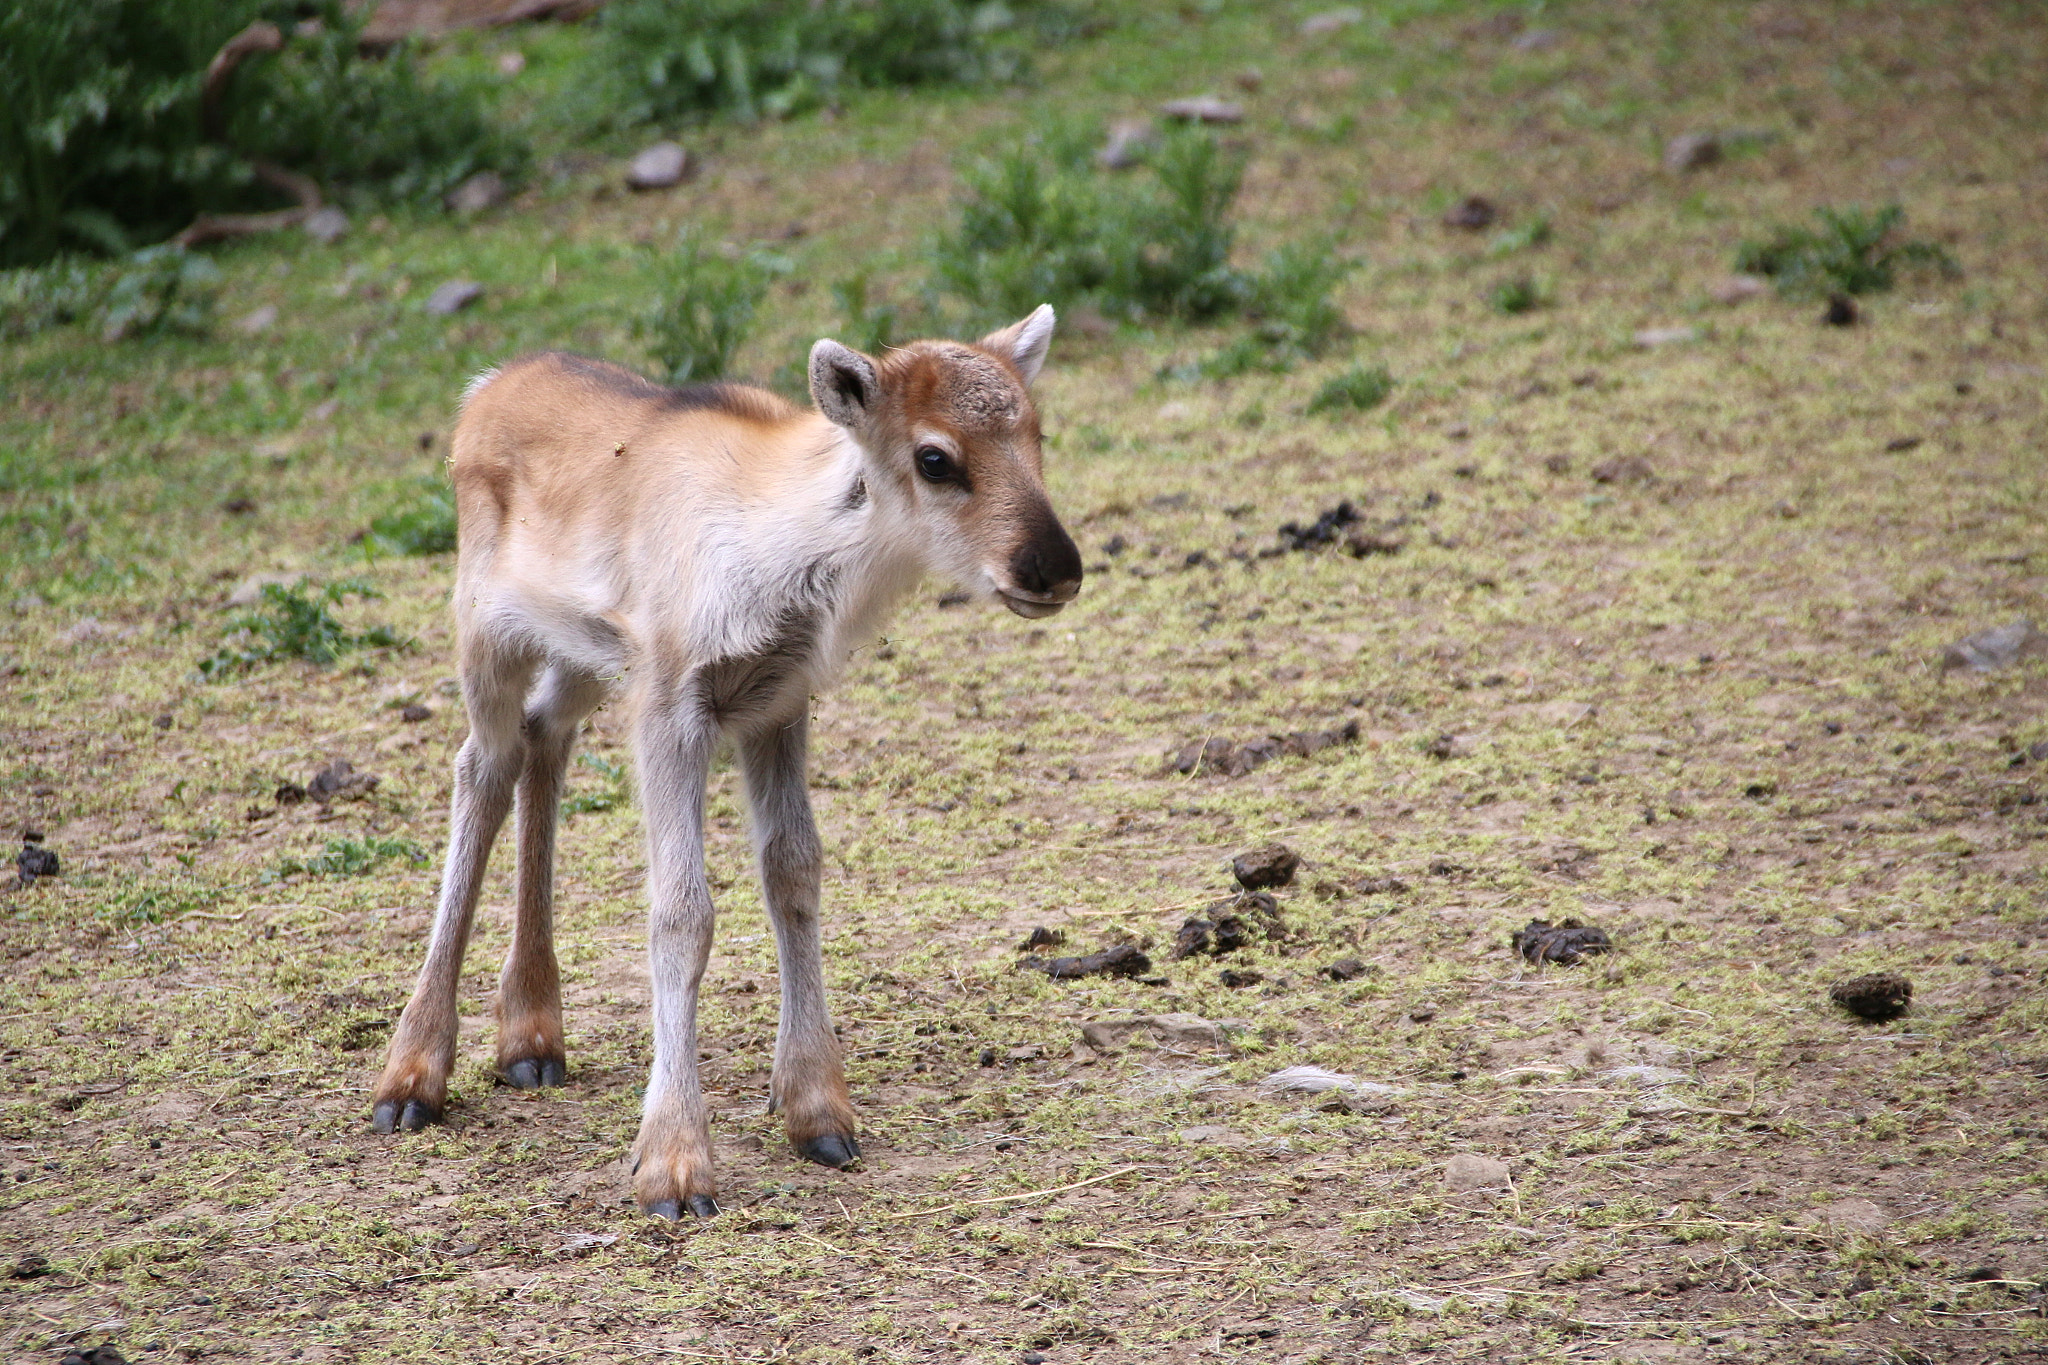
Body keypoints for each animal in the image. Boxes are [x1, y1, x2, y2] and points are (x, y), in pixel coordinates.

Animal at [370, 306, 1081, 1219]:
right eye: (935, 456)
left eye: (1036, 432)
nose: (1054, 567)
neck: (785, 561)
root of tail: (482, 388)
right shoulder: (672, 699)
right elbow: (682, 910)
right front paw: (674, 1164)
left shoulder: (776, 700)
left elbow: (794, 871)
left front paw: (818, 1110)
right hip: (487, 631)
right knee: (481, 766)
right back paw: (412, 1076)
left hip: (584, 656)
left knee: (542, 741)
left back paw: (530, 1034)